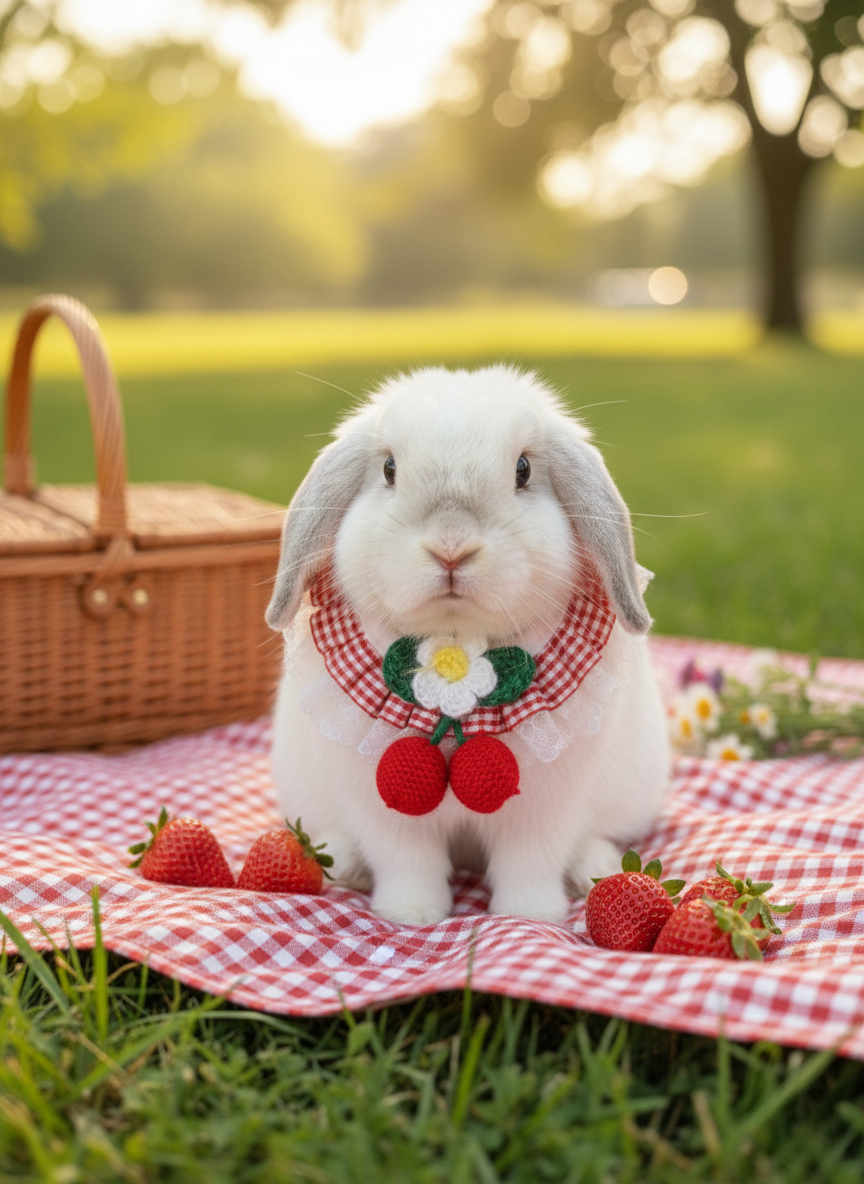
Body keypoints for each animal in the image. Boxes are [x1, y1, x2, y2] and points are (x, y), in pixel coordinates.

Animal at [266, 364, 670, 926]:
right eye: (389, 469)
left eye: (523, 469)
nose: (451, 548)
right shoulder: (387, 818)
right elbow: (408, 861)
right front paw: (412, 914)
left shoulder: (542, 813)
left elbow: (529, 862)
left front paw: (530, 915)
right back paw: (343, 864)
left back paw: (596, 868)